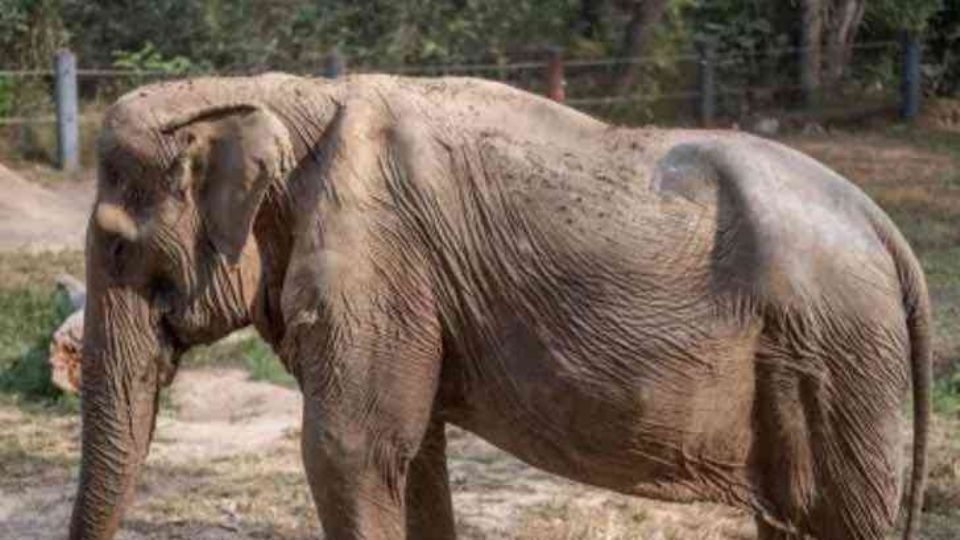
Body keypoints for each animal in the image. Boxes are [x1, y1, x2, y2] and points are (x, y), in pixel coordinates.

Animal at [73, 73, 928, 540]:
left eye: (115, 248)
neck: (277, 96)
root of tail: (888, 231)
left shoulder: (380, 263)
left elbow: (348, 451)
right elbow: (411, 458)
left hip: (843, 353)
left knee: (842, 519)